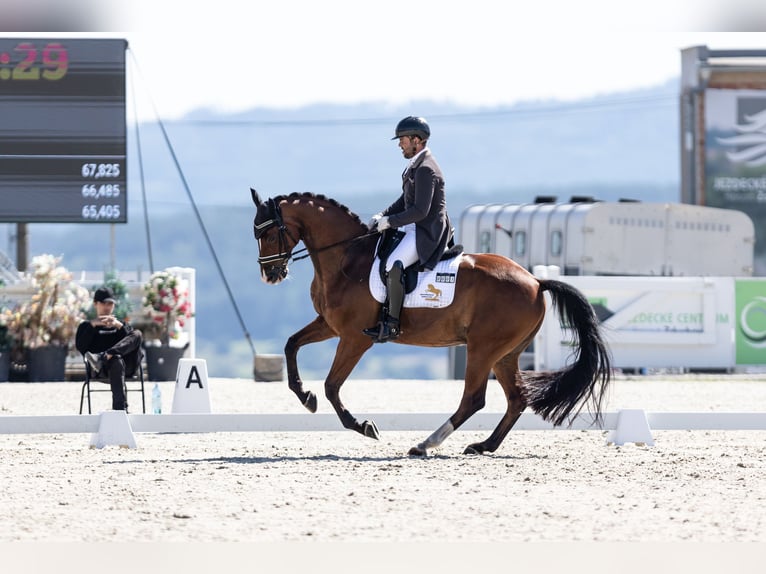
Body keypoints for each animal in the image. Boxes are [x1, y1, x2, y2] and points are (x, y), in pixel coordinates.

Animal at [252, 191, 612, 456]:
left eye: (268, 233)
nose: (270, 275)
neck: (347, 259)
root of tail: (536, 281)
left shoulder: (355, 338)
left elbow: (331, 385)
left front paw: (363, 426)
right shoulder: (329, 325)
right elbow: (291, 344)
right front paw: (304, 396)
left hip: (483, 349)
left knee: (473, 399)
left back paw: (426, 444)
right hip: (505, 354)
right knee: (516, 399)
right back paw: (483, 446)